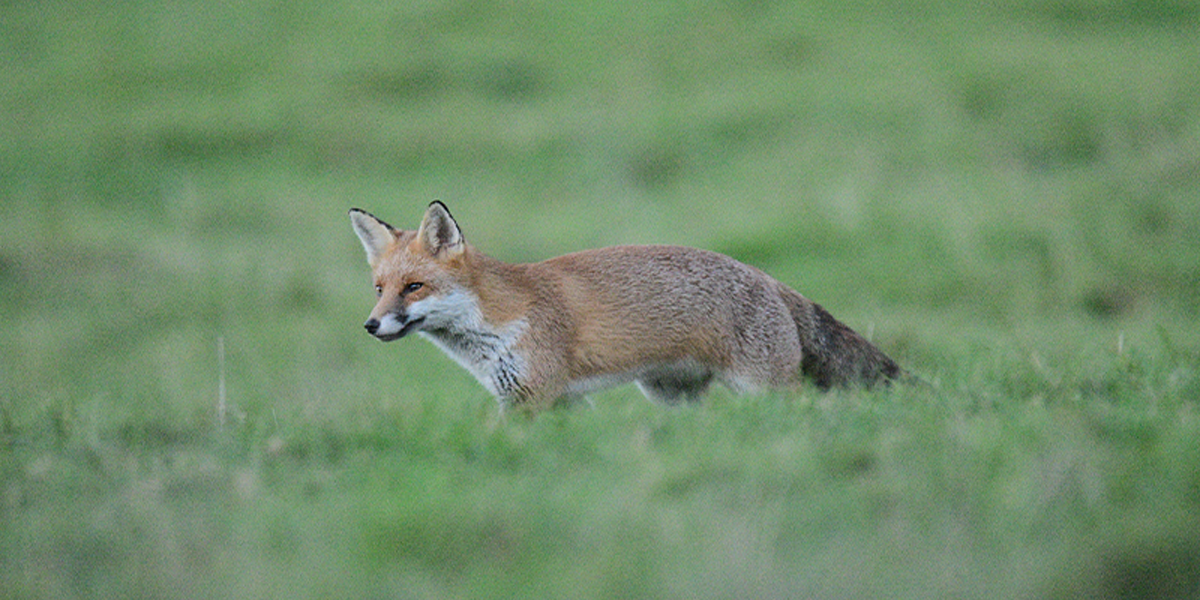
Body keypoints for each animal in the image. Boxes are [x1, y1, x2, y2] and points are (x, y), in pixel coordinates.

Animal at [350, 201, 904, 410]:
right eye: (380, 288)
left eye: (414, 287)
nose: (372, 325)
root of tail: (767, 277)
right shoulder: (555, 401)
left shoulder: (536, 393)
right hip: (671, 397)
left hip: (765, 389)